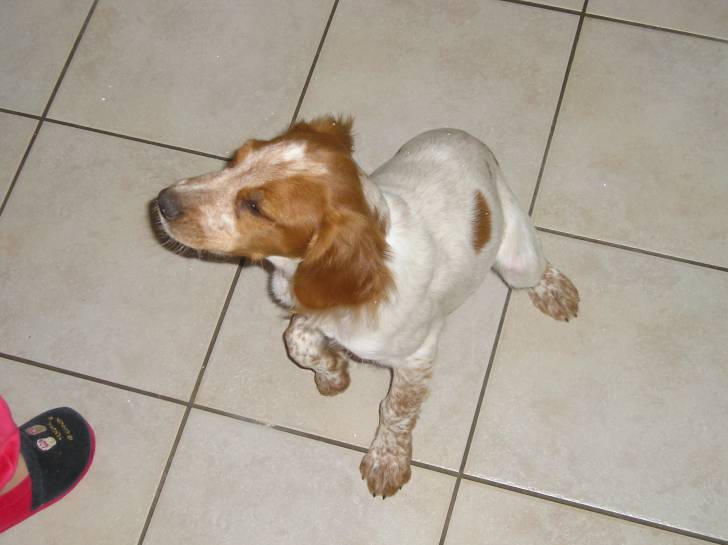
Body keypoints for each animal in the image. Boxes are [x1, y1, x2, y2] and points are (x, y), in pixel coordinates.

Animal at [154, 116, 579, 498]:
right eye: (236, 159)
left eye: (256, 206)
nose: (162, 201)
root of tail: (469, 140)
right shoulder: (312, 308)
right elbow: (297, 340)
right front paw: (333, 373)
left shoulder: (416, 355)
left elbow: (396, 410)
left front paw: (387, 461)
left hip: (518, 259)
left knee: (536, 268)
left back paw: (555, 290)